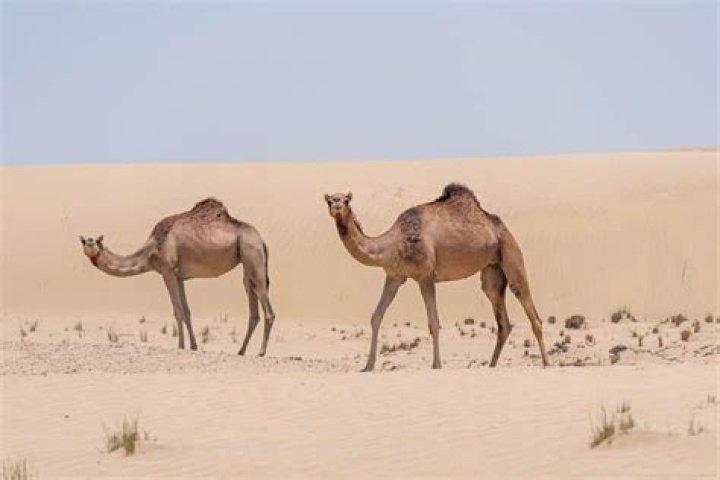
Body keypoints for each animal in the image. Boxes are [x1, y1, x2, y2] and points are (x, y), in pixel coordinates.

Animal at [80, 198, 275, 355]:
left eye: (96, 242)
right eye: (83, 241)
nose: (89, 243)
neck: (152, 251)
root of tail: (262, 239)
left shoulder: (168, 271)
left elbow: (178, 311)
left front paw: (180, 346)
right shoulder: (179, 276)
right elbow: (187, 311)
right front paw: (193, 346)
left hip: (252, 252)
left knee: (266, 306)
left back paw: (261, 352)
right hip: (247, 262)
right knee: (252, 300)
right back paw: (241, 351)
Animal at [325, 183, 550, 371]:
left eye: (345, 200)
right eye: (329, 200)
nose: (336, 205)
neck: (394, 243)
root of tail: (500, 226)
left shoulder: (425, 276)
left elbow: (433, 322)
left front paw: (436, 365)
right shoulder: (394, 276)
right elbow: (376, 316)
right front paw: (368, 366)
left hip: (511, 252)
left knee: (529, 307)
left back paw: (547, 363)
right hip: (492, 269)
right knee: (501, 317)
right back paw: (491, 365)